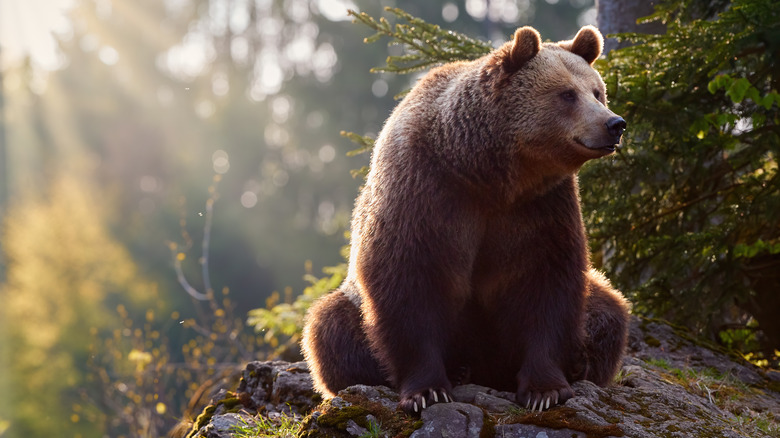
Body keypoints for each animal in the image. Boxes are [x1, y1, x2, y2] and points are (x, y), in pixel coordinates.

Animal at [302, 24, 632, 414]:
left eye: (597, 91)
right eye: (567, 94)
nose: (614, 123)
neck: (485, 172)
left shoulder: (540, 207)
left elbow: (546, 284)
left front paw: (545, 389)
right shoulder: (425, 192)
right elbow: (409, 282)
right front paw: (427, 390)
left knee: (608, 309)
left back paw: (580, 361)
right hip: (350, 303)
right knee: (329, 328)